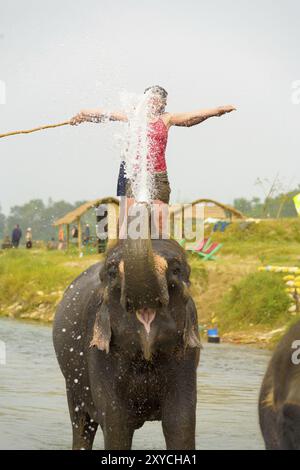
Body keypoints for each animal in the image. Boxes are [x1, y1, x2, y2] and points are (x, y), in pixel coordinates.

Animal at [52, 237, 200, 450]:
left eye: (177, 269)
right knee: (81, 423)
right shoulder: (100, 354)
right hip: (72, 381)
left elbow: (180, 422)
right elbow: (116, 424)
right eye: (112, 273)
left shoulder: (186, 356)